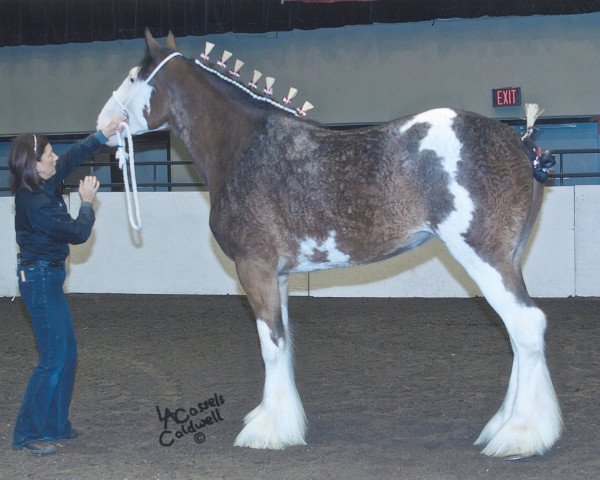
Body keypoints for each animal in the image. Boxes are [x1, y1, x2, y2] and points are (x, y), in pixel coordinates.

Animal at [97, 30, 564, 458]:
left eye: (134, 76)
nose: (102, 126)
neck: (245, 146)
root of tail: (521, 144)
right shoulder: (279, 276)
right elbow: (284, 344)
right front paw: (281, 422)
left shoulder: (255, 268)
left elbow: (271, 346)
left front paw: (266, 431)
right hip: (505, 260)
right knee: (518, 333)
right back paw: (506, 425)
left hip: (483, 256)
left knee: (526, 326)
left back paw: (518, 435)